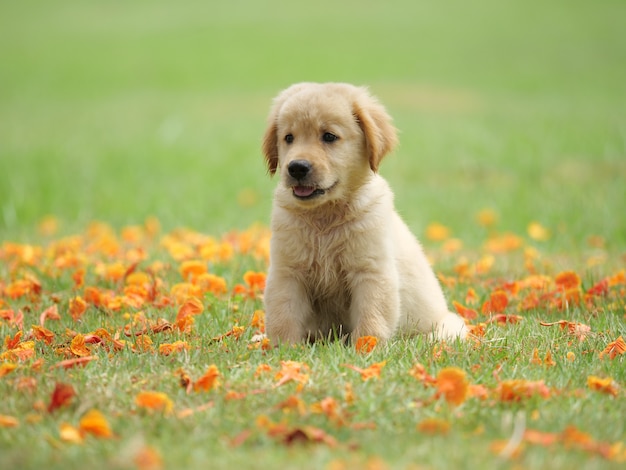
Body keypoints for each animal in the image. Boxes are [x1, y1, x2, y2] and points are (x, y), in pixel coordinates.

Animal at [260, 82, 466, 344]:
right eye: (288, 138)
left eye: (329, 136)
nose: (296, 168)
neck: (324, 216)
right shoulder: (287, 272)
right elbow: (282, 315)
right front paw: (283, 348)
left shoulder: (371, 272)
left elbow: (372, 317)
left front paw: (366, 347)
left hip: (449, 328)